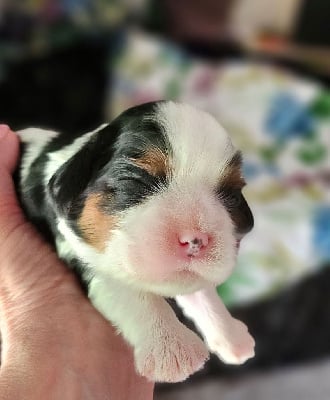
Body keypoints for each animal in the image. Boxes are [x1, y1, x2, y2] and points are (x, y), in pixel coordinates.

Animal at [17, 100, 255, 382]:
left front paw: (231, 336)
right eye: (135, 180)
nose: (195, 240)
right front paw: (171, 347)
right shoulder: (73, 247)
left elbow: (202, 292)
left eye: (231, 195)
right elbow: (128, 290)